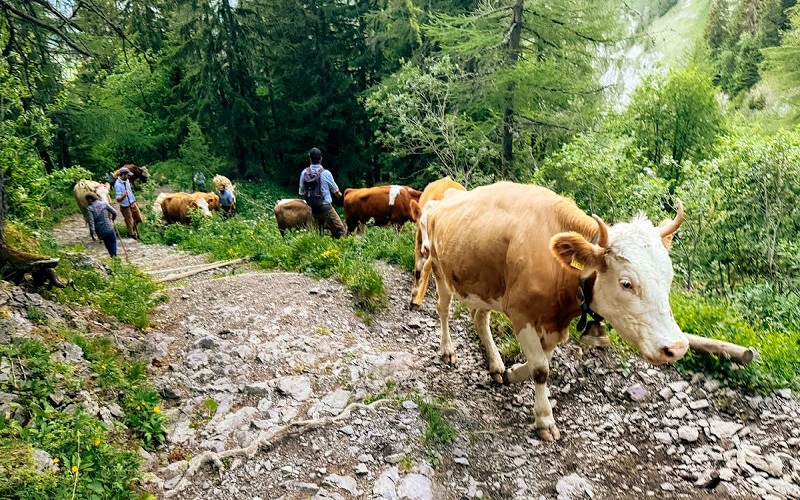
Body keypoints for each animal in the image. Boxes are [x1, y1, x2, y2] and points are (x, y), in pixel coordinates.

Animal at [408, 177, 467, 306]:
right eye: (422, 223)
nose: (427, 247)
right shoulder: (418, 238)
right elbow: (419, 267)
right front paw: (415, 293)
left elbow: (426, 267)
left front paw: (417, 296)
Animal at [422, 181, 688, 441]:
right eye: (626, 283)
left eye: (669, 277)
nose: (676, 347)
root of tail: (446, 197)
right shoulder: (521, 314)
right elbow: (541, 369)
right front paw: (544, 420)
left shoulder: (554, 324)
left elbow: (541, 362)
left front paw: (512, 373)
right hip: (439, 269)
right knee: (443, 309)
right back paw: (447, 350)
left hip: (485, 286)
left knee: (479, 318)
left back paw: (496, 364)